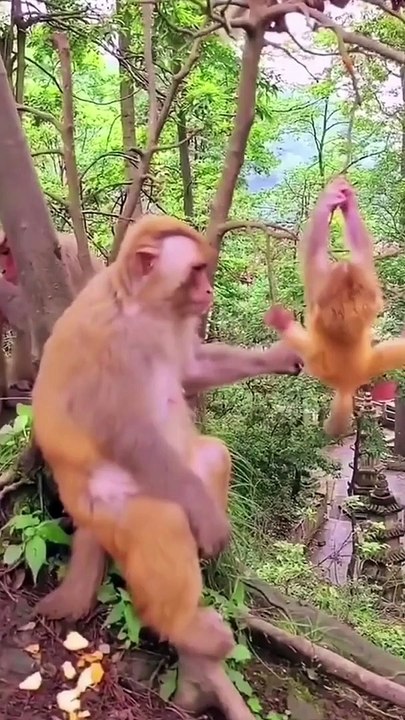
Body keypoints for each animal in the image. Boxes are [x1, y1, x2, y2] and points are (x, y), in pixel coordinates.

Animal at [265, 176, 405, 438]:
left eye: (338, 277)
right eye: (346, 279)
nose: (343, 267)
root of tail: (348, 383)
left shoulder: (320, 296)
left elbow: (313, 256)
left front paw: (330, 200)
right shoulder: (369, 294)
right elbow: (363, 255)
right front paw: (345, 200)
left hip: (321, 363)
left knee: (302, 344)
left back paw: (282, 323)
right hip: (373, 360)